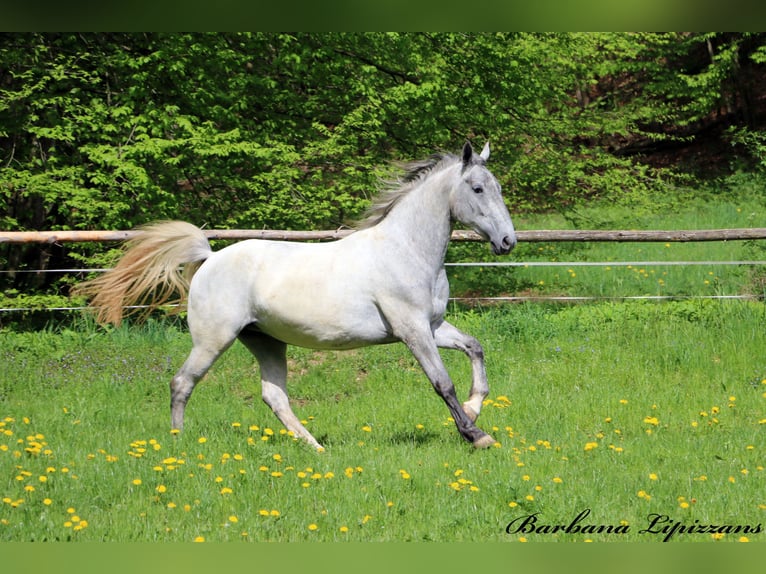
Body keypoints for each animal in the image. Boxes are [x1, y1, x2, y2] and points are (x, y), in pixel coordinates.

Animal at [74, 142, 516, 449]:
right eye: (478, 188)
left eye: (498, 187)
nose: (508, 242)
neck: (406, 249)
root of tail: (211, 258)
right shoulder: (412, 330)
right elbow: (442, 383)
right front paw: (477, 435)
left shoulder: (433, 326)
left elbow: (475, 348)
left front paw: (476, 407)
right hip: (213, 339)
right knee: (182, 382)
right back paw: (178, 443)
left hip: (265, 341)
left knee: (274, 396)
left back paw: (315, 447)